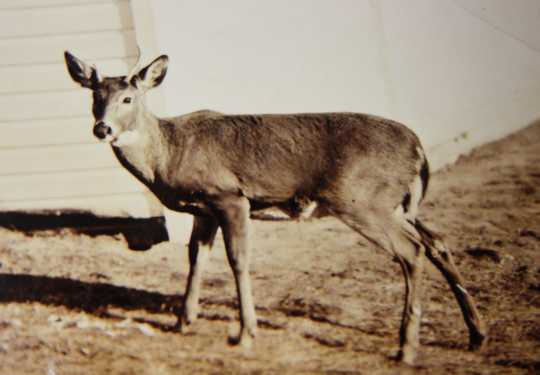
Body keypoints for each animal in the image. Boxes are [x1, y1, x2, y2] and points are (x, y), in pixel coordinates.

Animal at [65, 50, 488, 364]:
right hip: (400, 205)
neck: (169, 153)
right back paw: (476, 334)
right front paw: (184, 321)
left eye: (128, 99)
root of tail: (418, 146)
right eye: (94, 96)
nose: (102, 128)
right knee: (437, 242)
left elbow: (238, 261)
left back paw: (406, 348)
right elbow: (196, 259)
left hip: (365, 201)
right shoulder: (203, 211)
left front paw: (245, 333)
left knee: (412, 251)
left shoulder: (230, 196)